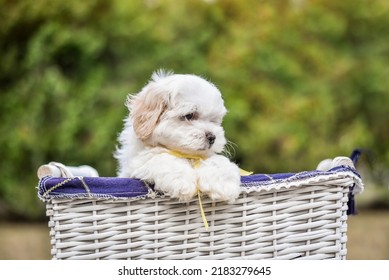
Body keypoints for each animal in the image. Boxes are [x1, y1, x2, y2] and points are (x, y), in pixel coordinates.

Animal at [113, 69, 241, 201]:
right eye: (189, 115)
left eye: (213, 120)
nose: (212, 137)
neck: (187, 155)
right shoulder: (135, 164)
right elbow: (161, 158)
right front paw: (182, 181)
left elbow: (217, 161)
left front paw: (225, 184)